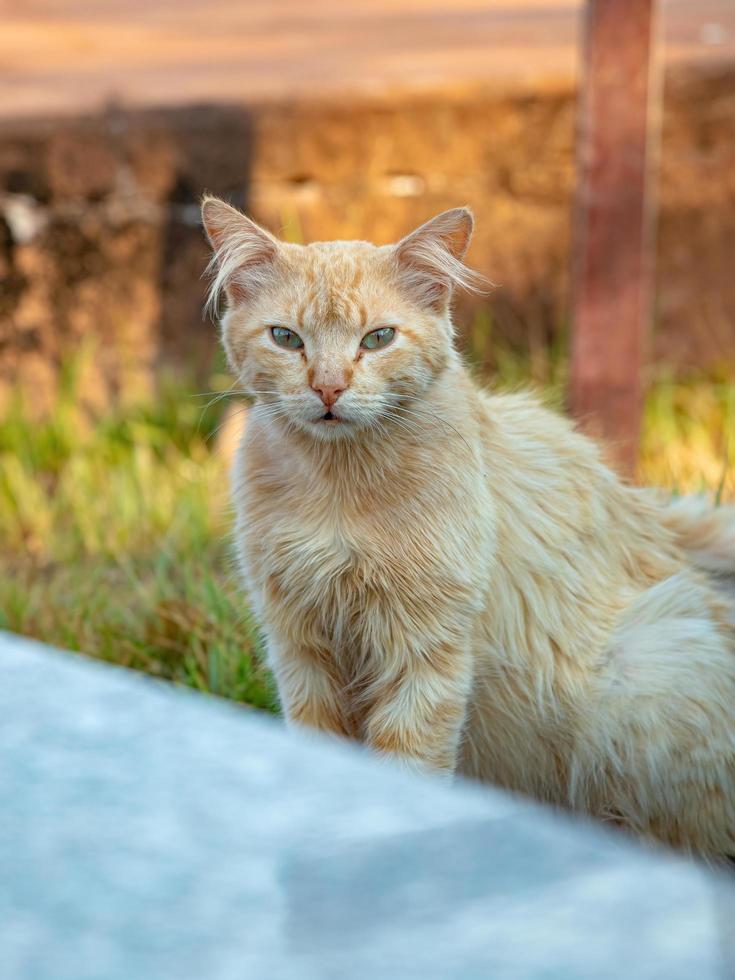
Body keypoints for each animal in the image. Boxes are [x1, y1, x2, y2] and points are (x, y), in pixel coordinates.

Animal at [201, 197, 735, 856]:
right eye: (286, 338)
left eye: (378, 338)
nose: (328, 388)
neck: (339, 487)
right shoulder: (301, 646)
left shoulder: (424, 652)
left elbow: (406, 766)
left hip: (649, 674)